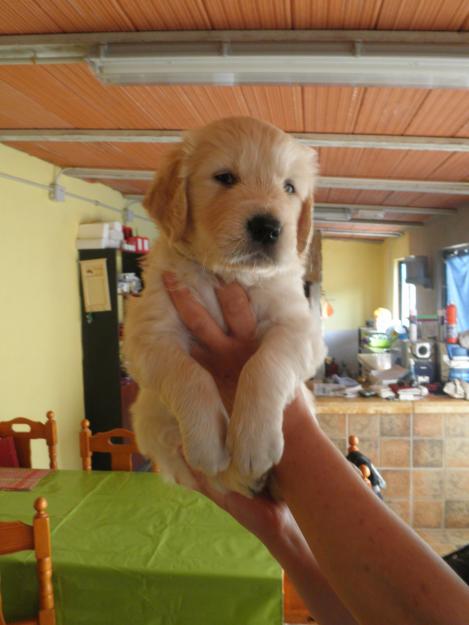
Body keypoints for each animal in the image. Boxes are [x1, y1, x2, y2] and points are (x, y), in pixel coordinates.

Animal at [124, 117, 326, 494]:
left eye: (289, 187)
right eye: (225, 178)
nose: (268, 227)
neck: (227, 275)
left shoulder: (299, 327)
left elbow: (263, 365)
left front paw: (253, 444)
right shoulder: (150, 335)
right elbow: (189, 374)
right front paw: (207, 444)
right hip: (147, 417)